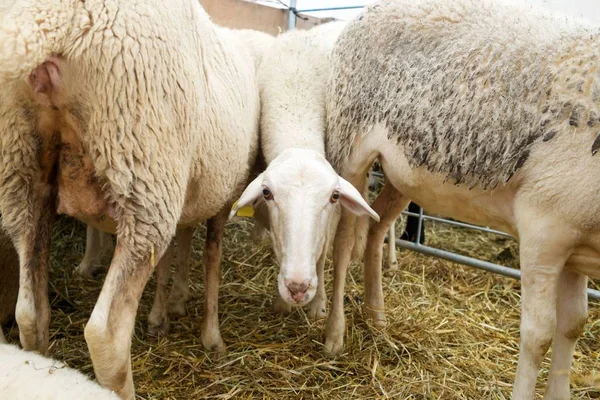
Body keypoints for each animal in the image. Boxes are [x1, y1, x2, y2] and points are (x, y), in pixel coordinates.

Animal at [0, 1, 258, 396]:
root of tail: (57, 16)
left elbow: (174, 255)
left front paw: (165, 312)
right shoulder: (224, 197)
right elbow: (212, 262)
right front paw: (212, 336)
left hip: (22, 170)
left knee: (30, 311)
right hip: (142, 169)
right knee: (106, 333)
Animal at [230, 21, 380, 320]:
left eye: (334, 196)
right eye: (267, 193)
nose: (298, 288)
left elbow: (321, 252)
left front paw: (318, 304)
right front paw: (282, 302)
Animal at [326, 1, 600, 398]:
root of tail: (364, 14)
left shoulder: (575, 243)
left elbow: (573, 325)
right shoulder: (544, 228)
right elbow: (539, 336)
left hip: (402, 174)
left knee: (375, 231)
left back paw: (376, 318)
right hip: (349, 148)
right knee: (345, 243)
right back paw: (334, 333)